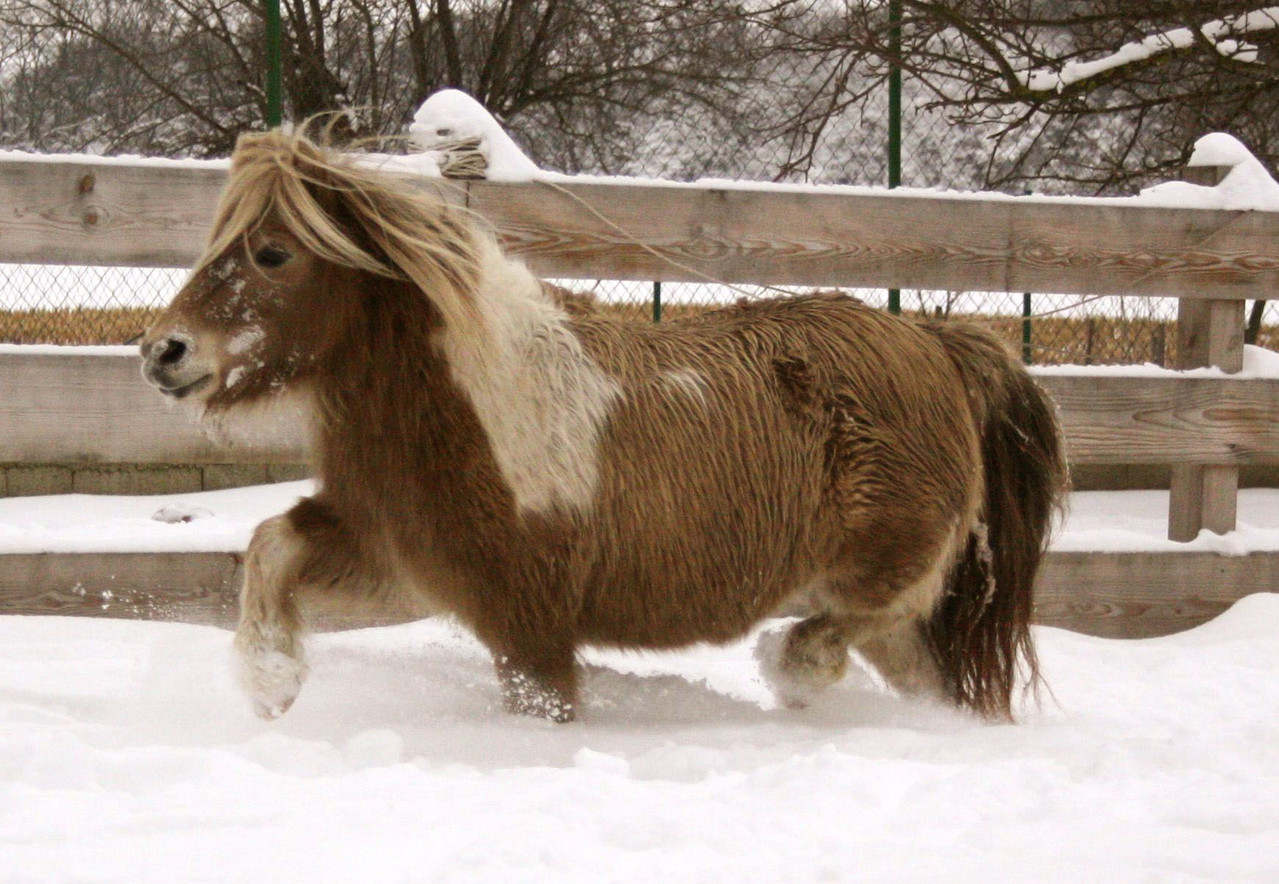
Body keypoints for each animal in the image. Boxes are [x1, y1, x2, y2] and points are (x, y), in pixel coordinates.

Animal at [137, 133, 1069, 726]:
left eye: (272, 253)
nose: (161, 353)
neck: (472, 403)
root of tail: (935, 344)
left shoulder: (528, 627)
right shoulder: (398, 558)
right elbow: (270, 544)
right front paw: (271, 687)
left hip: (888, 568)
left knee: (845, 626)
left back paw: (792, 675)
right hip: (901, 614)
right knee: (927, 678)